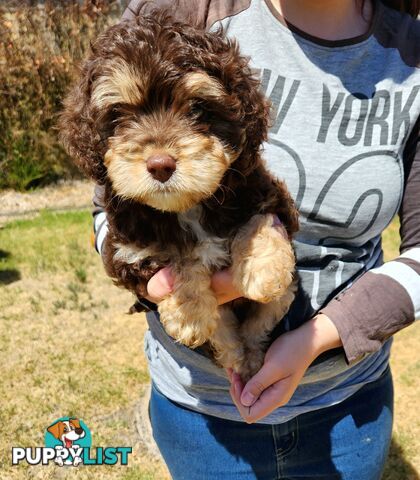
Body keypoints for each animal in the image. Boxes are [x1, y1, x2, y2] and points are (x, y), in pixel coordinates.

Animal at [60, 6, 300, 382]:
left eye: (198, 109)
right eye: (118, 114)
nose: (160, 165)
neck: (187, 207)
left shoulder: (270, 198)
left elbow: (258, 223)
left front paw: (264, 270)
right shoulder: (130, 250)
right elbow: (179, 257)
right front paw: (190, 313)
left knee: (260, 323)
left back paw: (251, 359)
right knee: (226, 336)